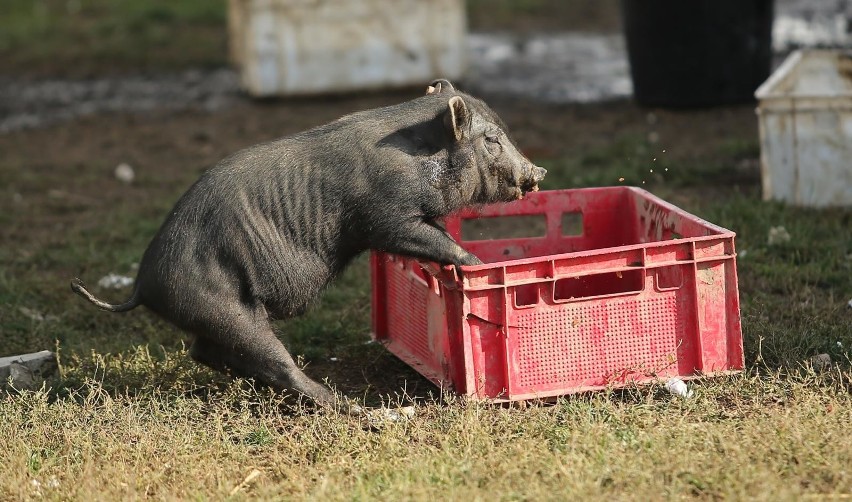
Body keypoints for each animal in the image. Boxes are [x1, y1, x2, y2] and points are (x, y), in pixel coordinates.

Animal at [70, 79, 544, 408]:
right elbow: (430, 238)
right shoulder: (389, 217)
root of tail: (141, 285)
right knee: (272, 361)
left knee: (206, 351)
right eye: (492, 140)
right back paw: (358, 410)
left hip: (213, 314)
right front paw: (474, 262)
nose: (538, 171)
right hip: (219, 303)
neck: (419, 159)